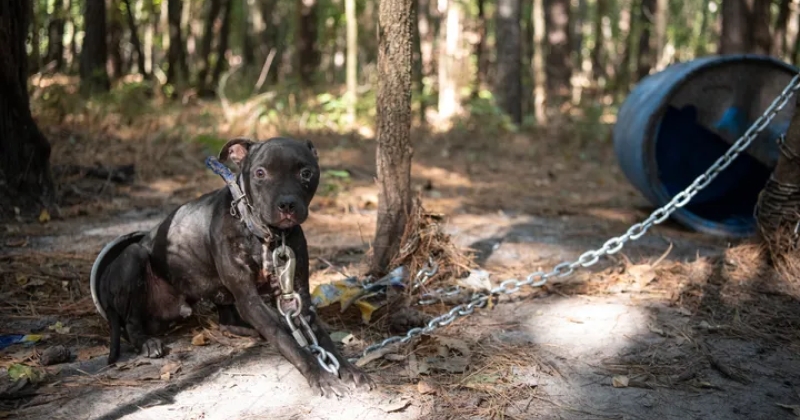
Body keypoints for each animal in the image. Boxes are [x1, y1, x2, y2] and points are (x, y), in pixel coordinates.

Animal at [89, 137, 376, 398]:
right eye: (260, 173)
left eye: (306, 172)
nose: (287, 204)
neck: (266, 236)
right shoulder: (249, 298)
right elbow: (288, 339)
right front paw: (320, 376)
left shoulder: (299, 297)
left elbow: (322, 338)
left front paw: (349, 369)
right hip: (134, 257)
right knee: (130, 322)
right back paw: (146, 342)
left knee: (226, 321)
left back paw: (250, 331)